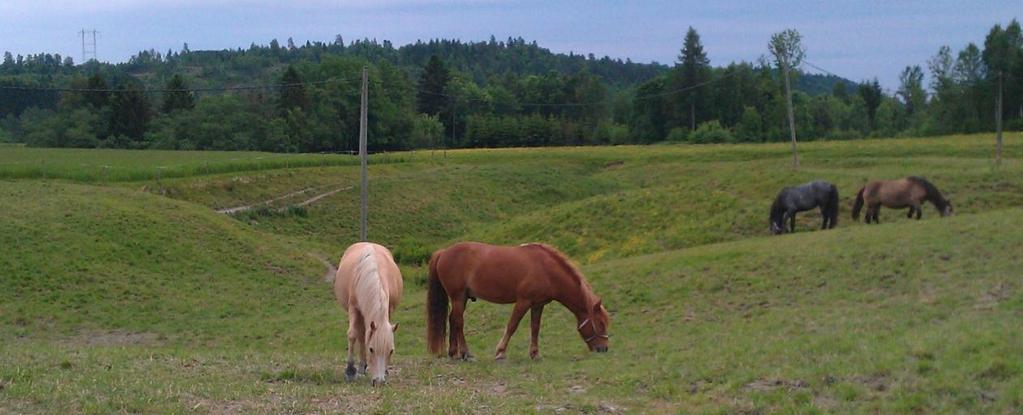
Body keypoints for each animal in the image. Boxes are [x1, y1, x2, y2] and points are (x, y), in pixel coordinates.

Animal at [331, 241, 403, 384]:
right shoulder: (354, 308)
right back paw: (360, 368)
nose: (379, 382)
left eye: (391, 351)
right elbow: (353, 334)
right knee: (361, 335)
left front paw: (386, 371)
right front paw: (350, 371)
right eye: (371, 349)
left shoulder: (389, 309)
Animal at [423, 241, 605, 361]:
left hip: (461, 298)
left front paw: (535, 353)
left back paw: (454, 353)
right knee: (458, 321)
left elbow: (535, 327)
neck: (545, 269)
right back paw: (466, 353)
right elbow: (512, 325)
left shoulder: (538, 305)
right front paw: (500, 352)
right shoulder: (523, 301)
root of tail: (444, 252)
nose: (603, 348)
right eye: (601, 324)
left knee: (453, 320)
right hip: (458, 296)